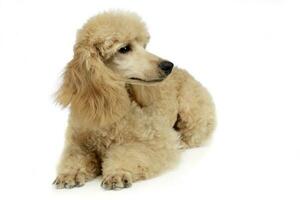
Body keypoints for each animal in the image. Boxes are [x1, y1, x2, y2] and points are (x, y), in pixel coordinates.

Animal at [52, 10, 214, 189]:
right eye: (124, 49)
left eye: (143, 46)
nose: (168, 65)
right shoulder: (78, 143)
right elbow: (74, 156)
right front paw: (71, 173)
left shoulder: (153, 139)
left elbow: (131, 153)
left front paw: (118, 172)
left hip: (192, 109)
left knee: (195, 133)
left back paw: (183, 143)